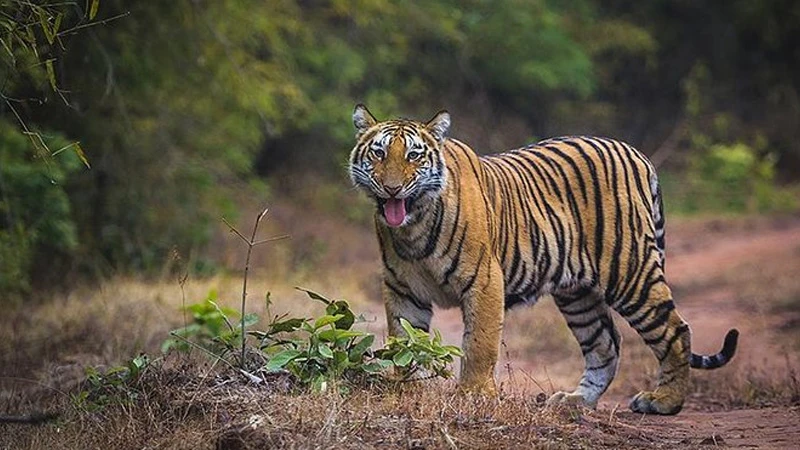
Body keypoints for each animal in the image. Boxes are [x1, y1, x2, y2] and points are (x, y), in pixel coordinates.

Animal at [348, 104, 738, 415]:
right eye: (379, 153)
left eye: (414, 156)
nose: (392, 189)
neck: (413, 225)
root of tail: (635, 153)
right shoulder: (402, 290)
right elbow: (404, 340)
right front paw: (407, 389)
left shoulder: (484, 281)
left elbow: (479, 344)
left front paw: (474, 394)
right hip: (578, 295)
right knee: (605, 343)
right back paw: (575, 401)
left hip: (630, 272)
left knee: (676, 330)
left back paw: (664, 401)